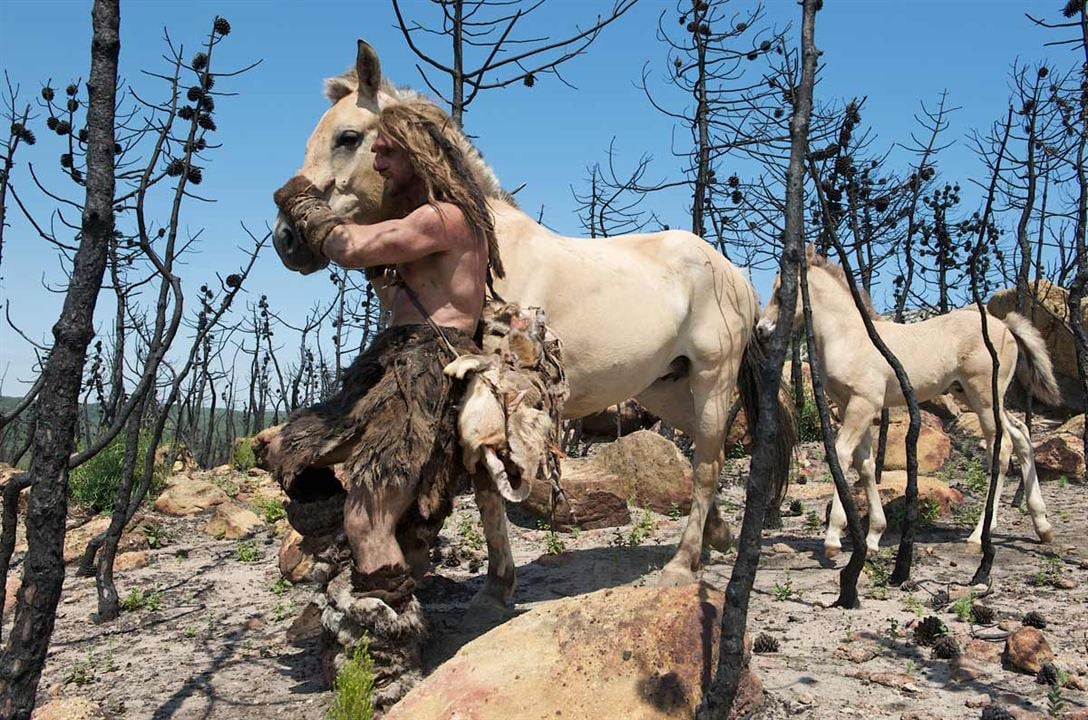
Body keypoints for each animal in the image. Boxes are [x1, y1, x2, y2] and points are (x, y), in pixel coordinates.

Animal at [267, 42, 787, 609]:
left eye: (348, 137)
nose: (287, 240)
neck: (489, 244)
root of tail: (733, 273)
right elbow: (487, 495)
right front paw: (496, 586)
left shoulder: (494, 395)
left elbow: (492, 496)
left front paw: (498, 588)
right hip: (665, 387)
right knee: (705, 458)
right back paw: (716, 536)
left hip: (712, 379)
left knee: (709, 462)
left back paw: (681, 564)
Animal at [761, 253, 1057, 556]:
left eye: (781, 292)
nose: (762, 329)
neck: (849, 337)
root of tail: (1007, 326)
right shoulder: (850, 407)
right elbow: (865, 464)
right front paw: (873, 537)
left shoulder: (862, 405)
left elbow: (841, 456)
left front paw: (832, 538)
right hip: (972, 395)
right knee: (1021, 433)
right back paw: (1043, 526)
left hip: (984, 396)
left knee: (1003, 447)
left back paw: (978, 535)